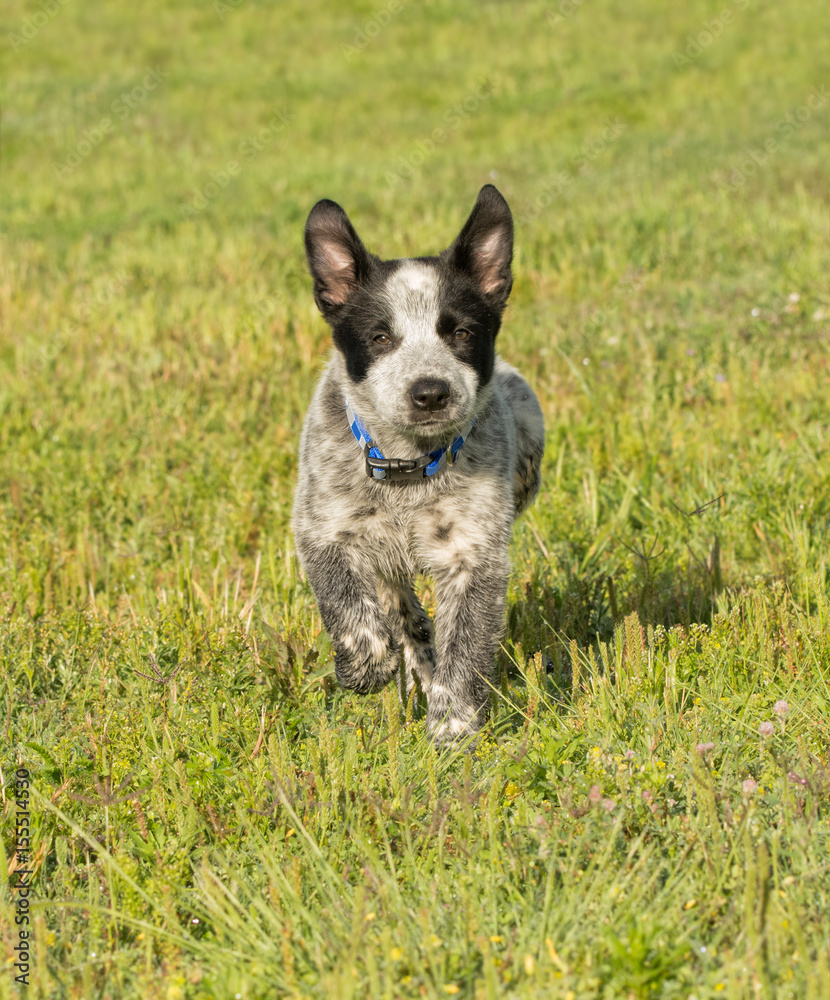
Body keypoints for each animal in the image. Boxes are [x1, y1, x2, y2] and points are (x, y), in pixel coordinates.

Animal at [292, 186, 544, 752]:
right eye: (380, 338)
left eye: (462, 332)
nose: (430, 392)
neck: (408, 467)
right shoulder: (320, 532)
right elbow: (349, 610)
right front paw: (364, 669)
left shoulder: (474, 557)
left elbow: (465, 650)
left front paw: (453, 731)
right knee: (396, 602)